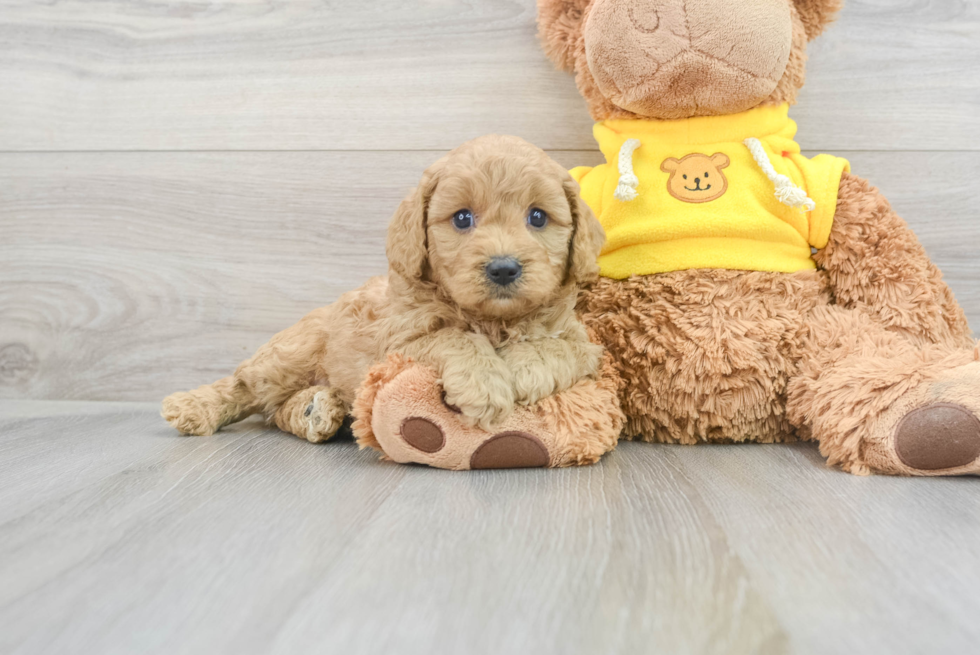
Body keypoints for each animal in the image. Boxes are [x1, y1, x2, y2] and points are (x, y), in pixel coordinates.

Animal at [161, 135, 604, 444]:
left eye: (538, 217)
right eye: (462, 218)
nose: (503, 268)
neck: (493, 320)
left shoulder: (582, 341)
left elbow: (562, 348)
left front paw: (522, 369)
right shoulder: (397, 340)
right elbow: (453, 337)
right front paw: (485, 384)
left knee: (277, 411)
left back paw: (316, 411)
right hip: (290, 355)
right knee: (244, 387)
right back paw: (193, 407)